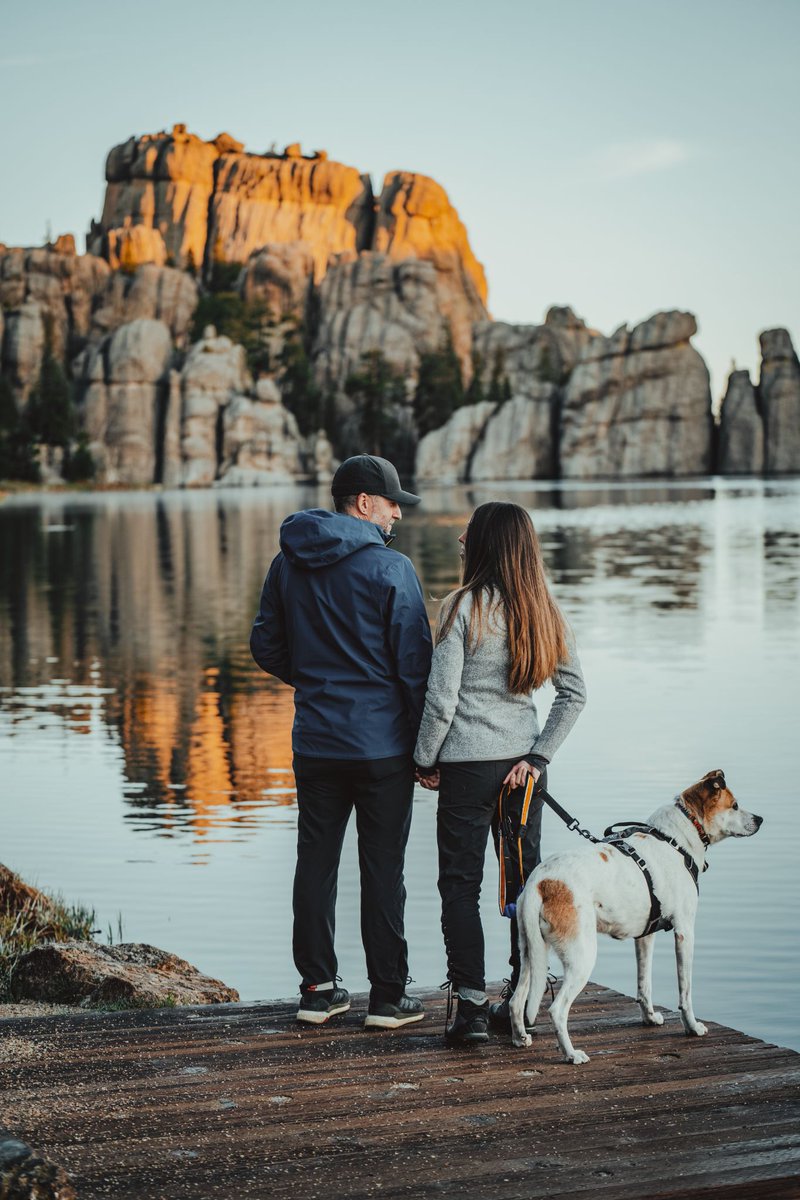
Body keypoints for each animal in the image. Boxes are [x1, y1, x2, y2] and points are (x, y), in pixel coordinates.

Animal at [513, 768, 762, 1060]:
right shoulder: (685, 932)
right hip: (581, 956)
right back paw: (572, 1055)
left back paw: (520, 1038)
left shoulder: (645, 936)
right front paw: (692, 1027)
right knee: (556, 1010)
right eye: (734, 805)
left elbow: (644, 984)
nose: (760, 819)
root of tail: (540, 881)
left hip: (530, 952)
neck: (676, 839)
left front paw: (650, 1018)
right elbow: (685, 991)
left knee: (517, 1001)